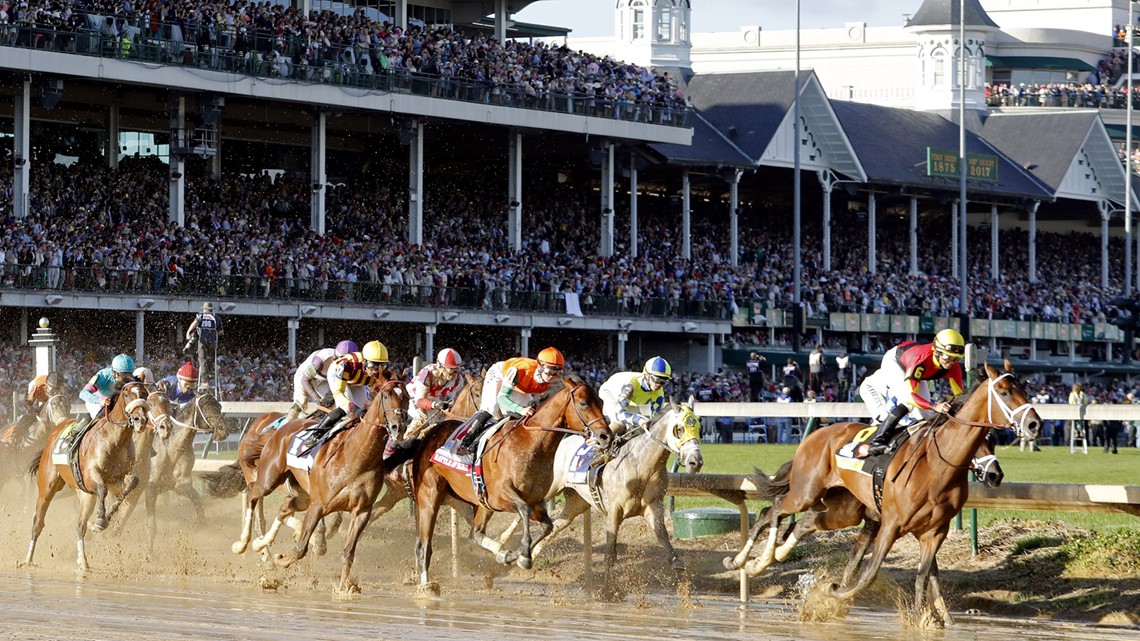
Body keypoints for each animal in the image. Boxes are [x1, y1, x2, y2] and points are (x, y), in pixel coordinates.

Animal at [20, 380, 152, 570]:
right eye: (127, 394)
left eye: (145, 394)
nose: (139, 420)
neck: (116, 441)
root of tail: (57, 428)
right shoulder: (92, 478)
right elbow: (103, 490)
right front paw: (100, 520)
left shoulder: (117, 480)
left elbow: (131, 484)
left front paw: (104, 519)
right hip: (47, 488)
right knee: (38, 523)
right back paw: (28, 560)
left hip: (85, 497)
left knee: (79, 526)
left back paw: (83, 561)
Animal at [233, 371, 408, 593]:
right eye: (386, 395)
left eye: (407, 397)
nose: (398, 426)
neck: (357, 456)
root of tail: (279, 428)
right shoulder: (318, 505)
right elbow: (300, 548)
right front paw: (282, 559)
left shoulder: (361, 511)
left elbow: (348, 553)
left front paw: (344, 589)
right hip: (269, 479)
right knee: (252, 494)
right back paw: (244, 544)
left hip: (301, 494)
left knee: (284, 506)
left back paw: (260, 543)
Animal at [385, 374, 615, 593]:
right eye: (583, 403)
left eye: (601, 402)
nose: (606, 436)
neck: (530, 443)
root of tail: (426, 438)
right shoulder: (499, 496)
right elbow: (524, 511)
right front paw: (523, 555)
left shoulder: (534, 500)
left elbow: (547, 525)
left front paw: (518, 556)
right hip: (429, 497)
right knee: (424, 545)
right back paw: (427, 585)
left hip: (475, 502)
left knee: (475, 533)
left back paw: (500, 555)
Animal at [725, 364, 1039, 625]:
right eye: (1004, 391)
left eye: (992, 442)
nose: (1034, 424)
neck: (936, 466)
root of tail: (817, 434)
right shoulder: (891, 524)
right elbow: (869, 574)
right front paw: (833, 593)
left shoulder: (933, 531)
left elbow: (924, 576)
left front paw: (928, 620)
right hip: (806, 492)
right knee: (774, 510)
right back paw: (751, 560)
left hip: (843, 510)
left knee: (802, 522)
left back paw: (765, 556)